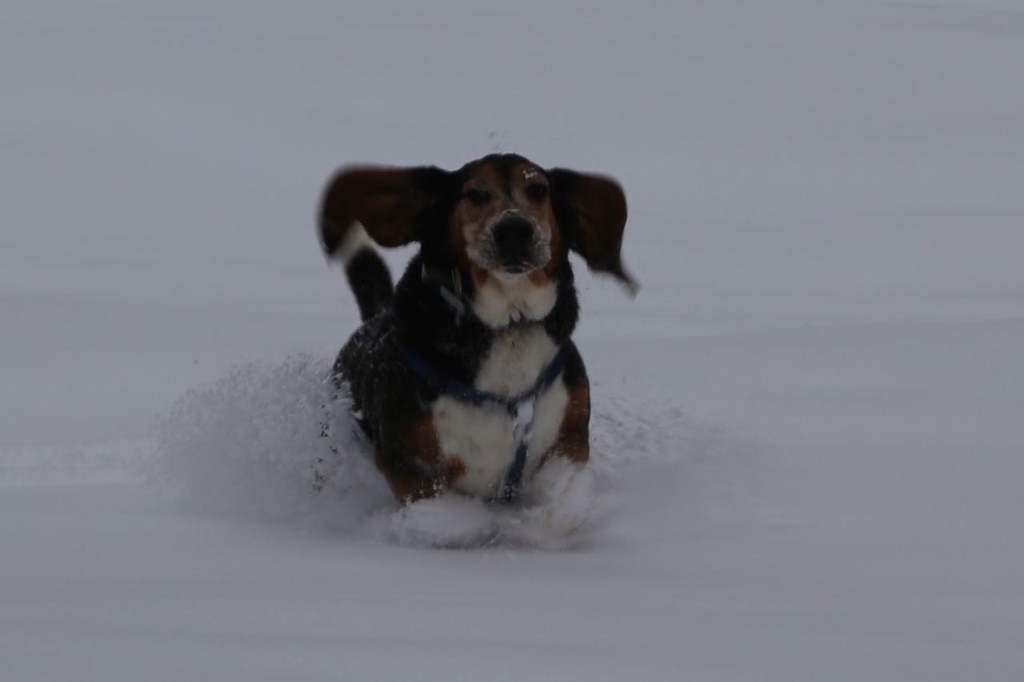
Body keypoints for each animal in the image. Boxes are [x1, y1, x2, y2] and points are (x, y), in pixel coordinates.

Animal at [317, 153, 630, 503]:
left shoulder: (569, 441)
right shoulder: (412, 469)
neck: (510, 324)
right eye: (475, 194)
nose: (514, 229)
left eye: (538, 189)